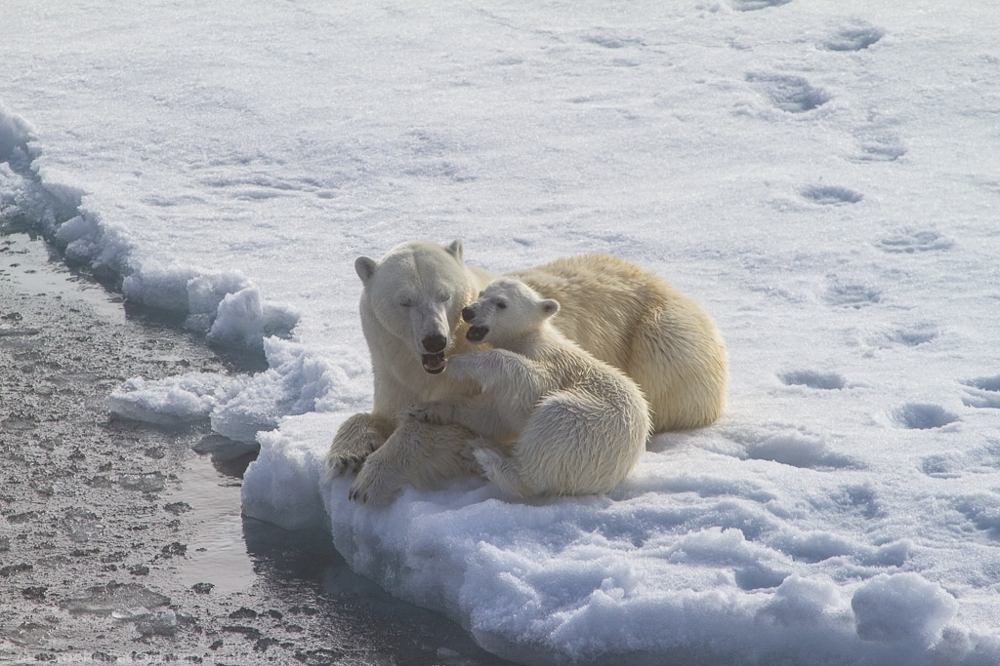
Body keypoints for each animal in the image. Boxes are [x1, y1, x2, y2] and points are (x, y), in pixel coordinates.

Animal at [328, 239, 728, 504]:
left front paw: (370, 480)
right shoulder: (392, 367)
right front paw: (346, 455)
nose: (434, 340)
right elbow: (380, 412)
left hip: (660, 337)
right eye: (405, 301)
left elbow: (460, 425)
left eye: (444, 295)